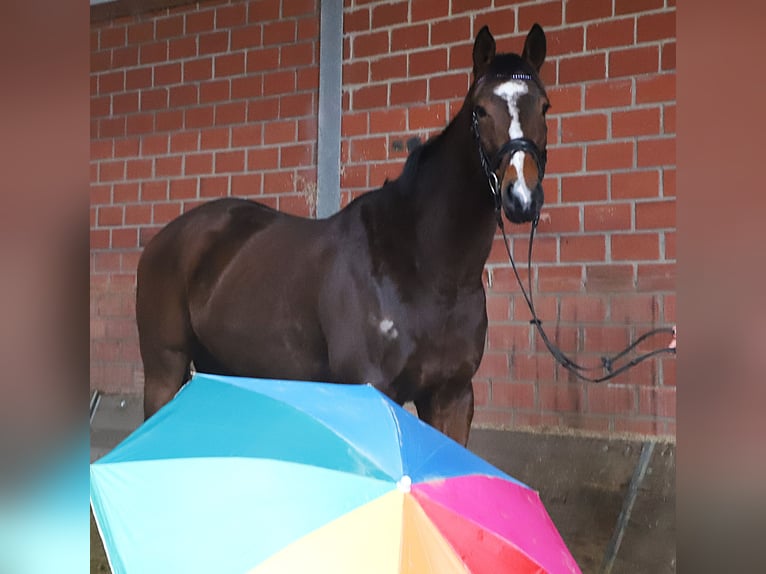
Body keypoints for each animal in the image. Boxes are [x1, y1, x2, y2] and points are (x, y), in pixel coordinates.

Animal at [136, 23, 550, 446]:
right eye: (480, 110)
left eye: (544, 107)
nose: (521, 197)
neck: (425, 269)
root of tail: (166, 238)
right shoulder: (372, 392)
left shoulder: (452, 396)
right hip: (164, 369)